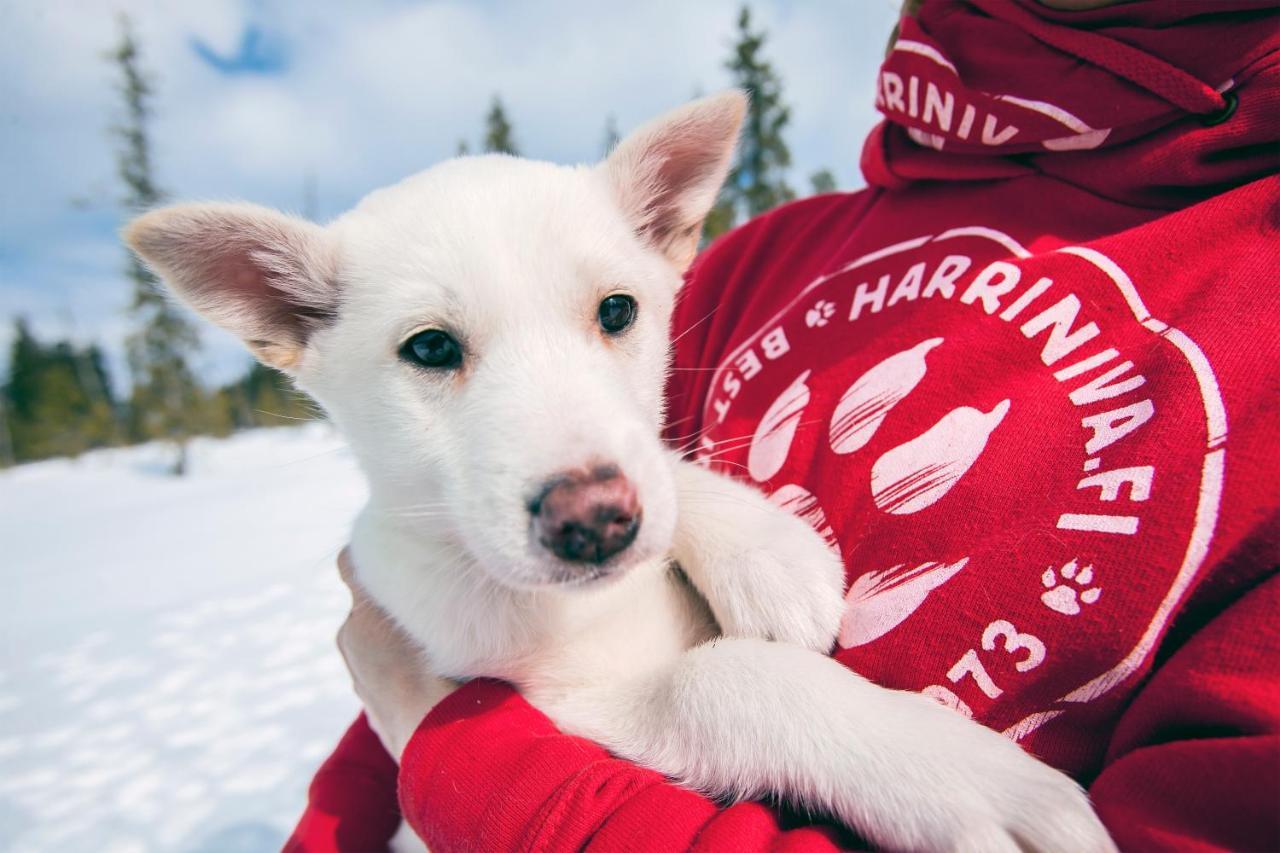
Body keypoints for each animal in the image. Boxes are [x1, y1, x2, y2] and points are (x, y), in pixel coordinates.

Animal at [127, 92, 1111, 850]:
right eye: (430, 347)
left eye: (617, 310)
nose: (594, 517)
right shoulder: (558, 704)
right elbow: (722, 678)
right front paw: (955, 776)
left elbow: (673, 469)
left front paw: (767, 553)